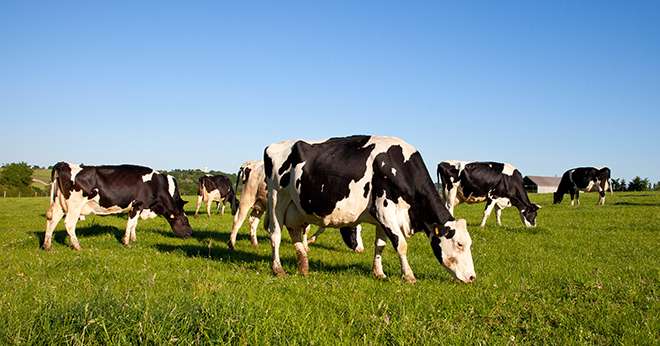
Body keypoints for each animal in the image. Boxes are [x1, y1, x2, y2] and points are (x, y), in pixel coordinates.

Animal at [43, 162, 191, 251]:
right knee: (69, 224)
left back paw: (47, 246)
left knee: (52, 221)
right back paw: (78, 246)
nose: (190, 233)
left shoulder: (138, 207)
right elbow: (130, 224)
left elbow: (134, 224)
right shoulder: (137, 205)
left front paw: (133, 239)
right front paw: (126, 242)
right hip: (75, 205)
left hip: (59, 204)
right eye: (185, 220)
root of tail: (64, 164)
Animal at [228, 161, 366, 253]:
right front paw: (306, 245)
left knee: (253, 221)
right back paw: (232, 244)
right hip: (247, 199)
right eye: (353, 231)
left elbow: (319, 228)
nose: (361, 249)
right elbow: (308, 228)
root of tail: (249, 164)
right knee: (237, 220)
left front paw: (307, 242)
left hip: (260, 204)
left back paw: (255, 243)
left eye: (360, 231)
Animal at [262, 135, 474, 284]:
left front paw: (379, 273)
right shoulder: (384, 209)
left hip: (296, 208)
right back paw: (278, 269)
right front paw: (409, 276)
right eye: (459, 244)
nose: (472, 277)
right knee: (276, 234)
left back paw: (304, 267)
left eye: (469, 244)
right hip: (276, 198)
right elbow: (401, 244)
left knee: (296, 233)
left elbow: (380, 245)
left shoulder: (383, 217)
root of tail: (273, 145)